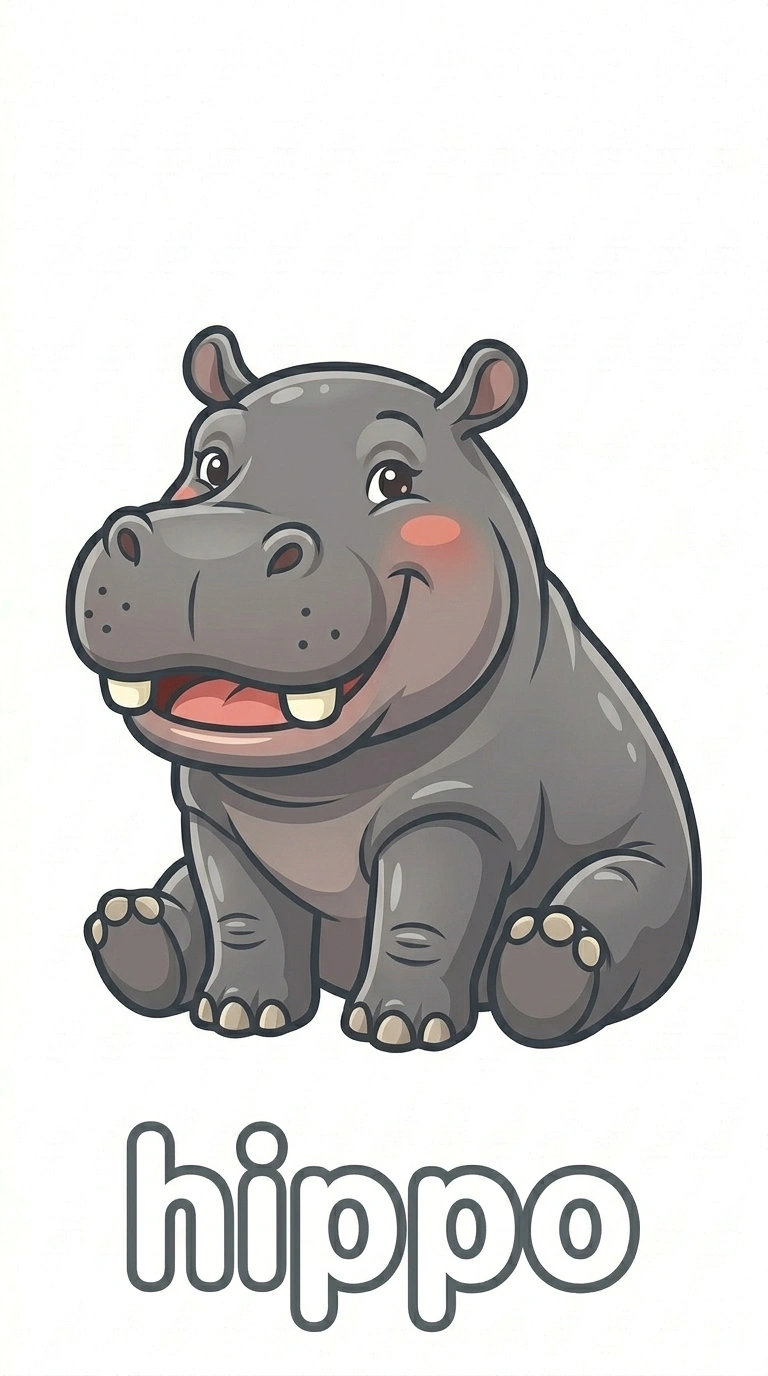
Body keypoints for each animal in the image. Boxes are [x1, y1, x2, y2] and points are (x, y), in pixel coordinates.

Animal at [66, 327, 700, 1052]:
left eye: (394, 478)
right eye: (211, 463)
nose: (207, 553)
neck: (310, 792)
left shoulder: (461, 804)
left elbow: (422, 918)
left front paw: (399, 1030)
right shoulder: (212, 811)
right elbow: (242, 914)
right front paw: (239, 1016)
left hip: (653, 870)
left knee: (619, 898)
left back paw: (553, 955)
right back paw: (131, 927)